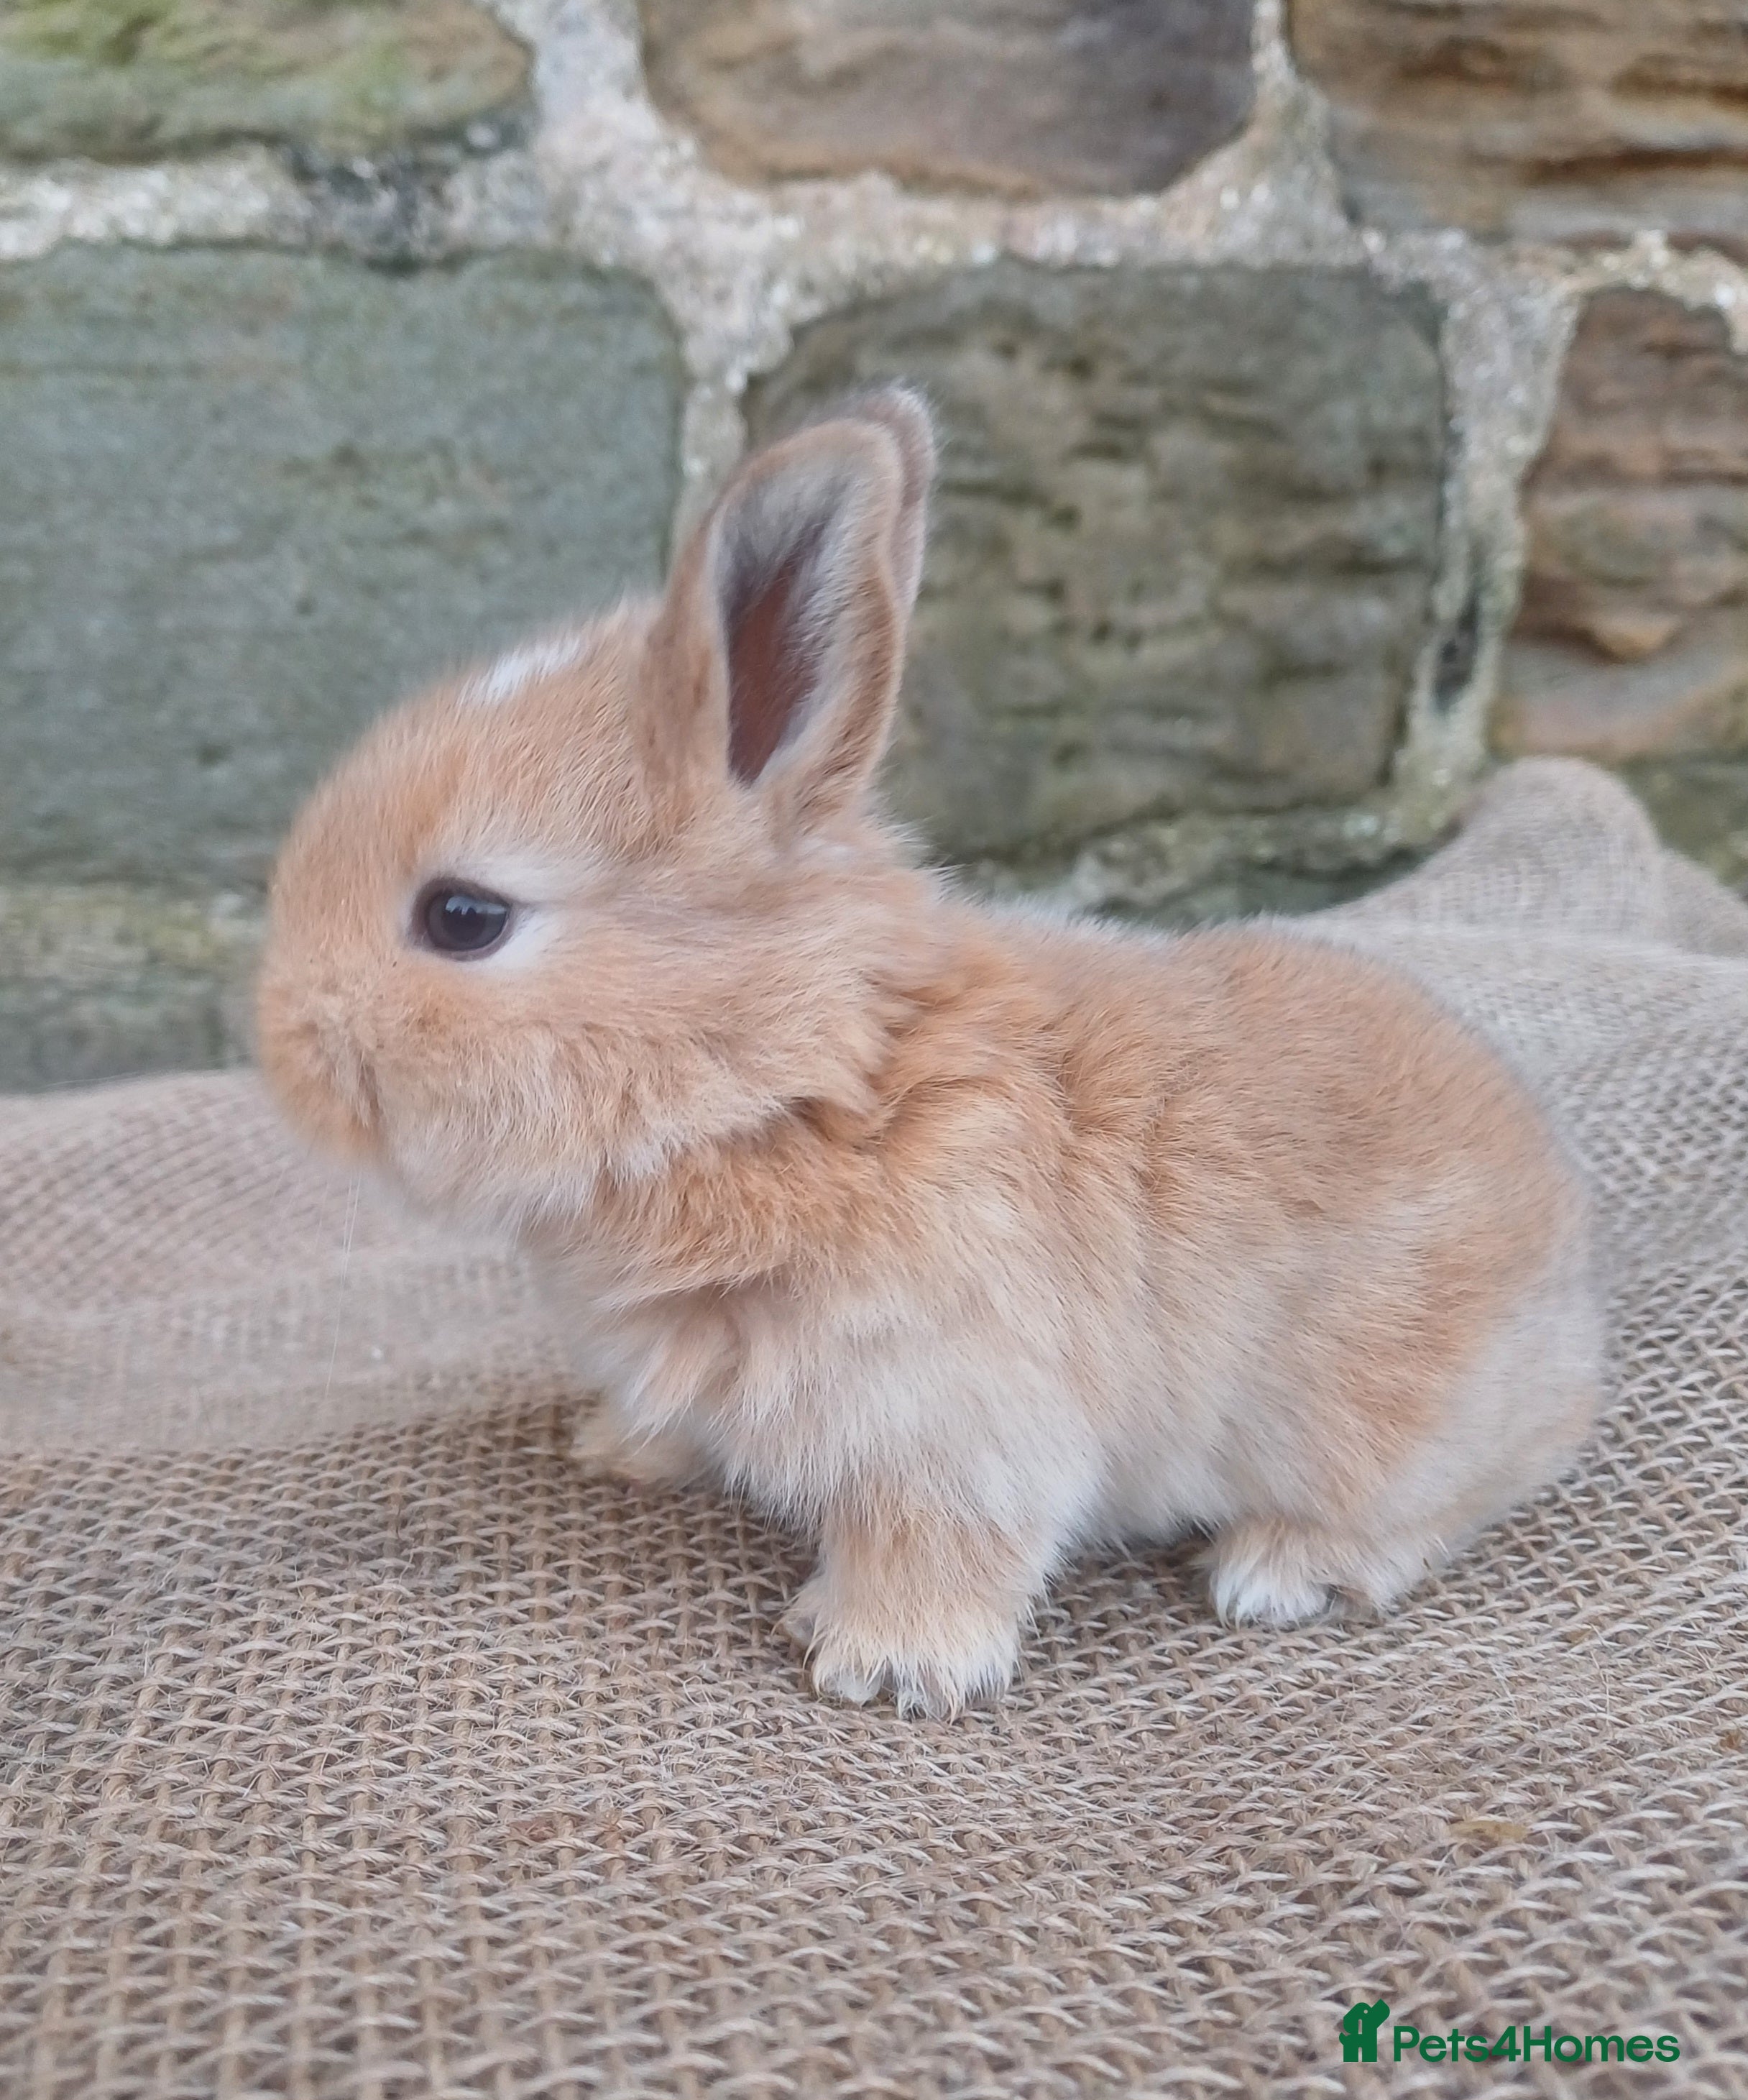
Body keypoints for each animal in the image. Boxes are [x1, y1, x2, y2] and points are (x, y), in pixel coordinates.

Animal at [257, 387, 1601, 1717]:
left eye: (462, 916)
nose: (281, 1045)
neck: (781, 1083)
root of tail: (1569, 1286)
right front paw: (623, 1449)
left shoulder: (954, 1424)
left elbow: (938, 1541)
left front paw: (886, 1665)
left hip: (1387, 1430)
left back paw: (1277, 1570)